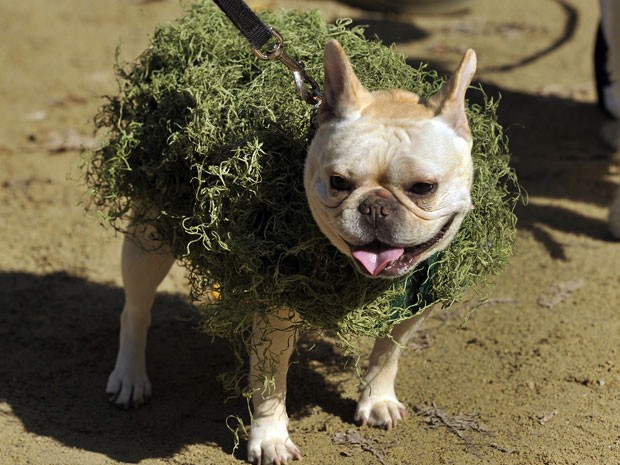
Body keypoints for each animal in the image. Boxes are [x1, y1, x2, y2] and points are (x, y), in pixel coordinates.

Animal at [105, 40, 474, 464]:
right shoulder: (277, 314)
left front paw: (376, 398)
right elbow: (271, 383)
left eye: (423, 188)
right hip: (149, 240)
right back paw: (130, 376)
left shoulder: (416, 302)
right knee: (135, 310)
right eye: (338, 182)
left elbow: (388, 352)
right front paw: (270, 438)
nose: (375, 207)